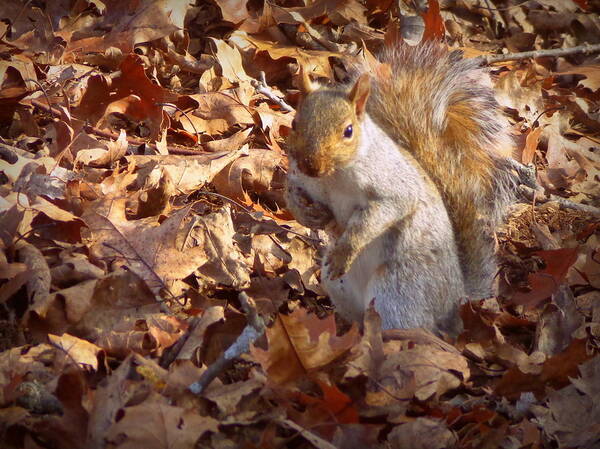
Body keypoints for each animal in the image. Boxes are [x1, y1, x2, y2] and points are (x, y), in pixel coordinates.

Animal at [284, 43, 524, 336]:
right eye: (294, 124)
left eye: (348, 131)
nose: (310, 165)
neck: (333, 177)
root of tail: (455, 302)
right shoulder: (301, 178)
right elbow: (290, 191)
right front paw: (307, 213)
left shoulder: (393, 186)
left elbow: (380, 214)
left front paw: (345, 251)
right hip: (339, 288)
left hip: (397, 295)